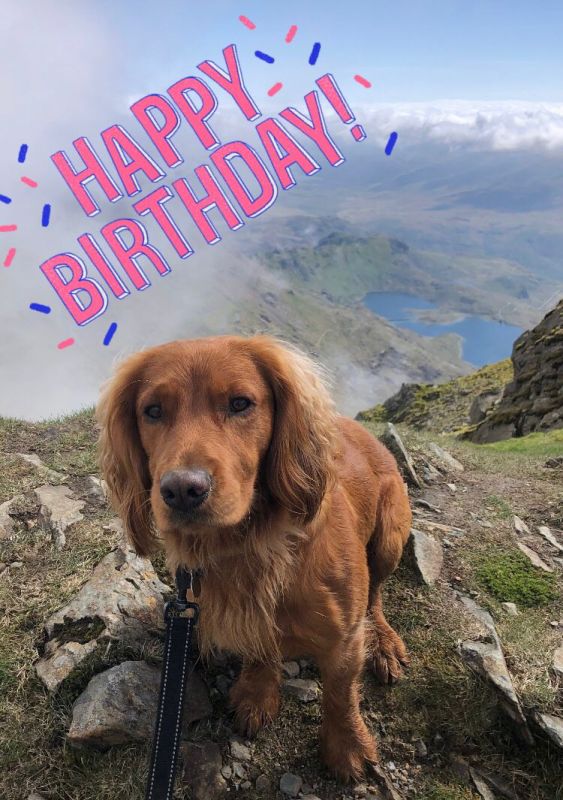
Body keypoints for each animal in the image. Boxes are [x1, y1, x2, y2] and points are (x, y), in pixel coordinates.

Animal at [97, 334, 412, 780]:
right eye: (152, 411)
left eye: (240, 403)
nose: (182, 490)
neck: (249, 546)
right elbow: (261, 644)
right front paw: (259, 691)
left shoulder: (344, 638)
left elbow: (340, 693)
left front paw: (346, 747)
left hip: (389, 537)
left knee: (376, 597)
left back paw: (384, 643)